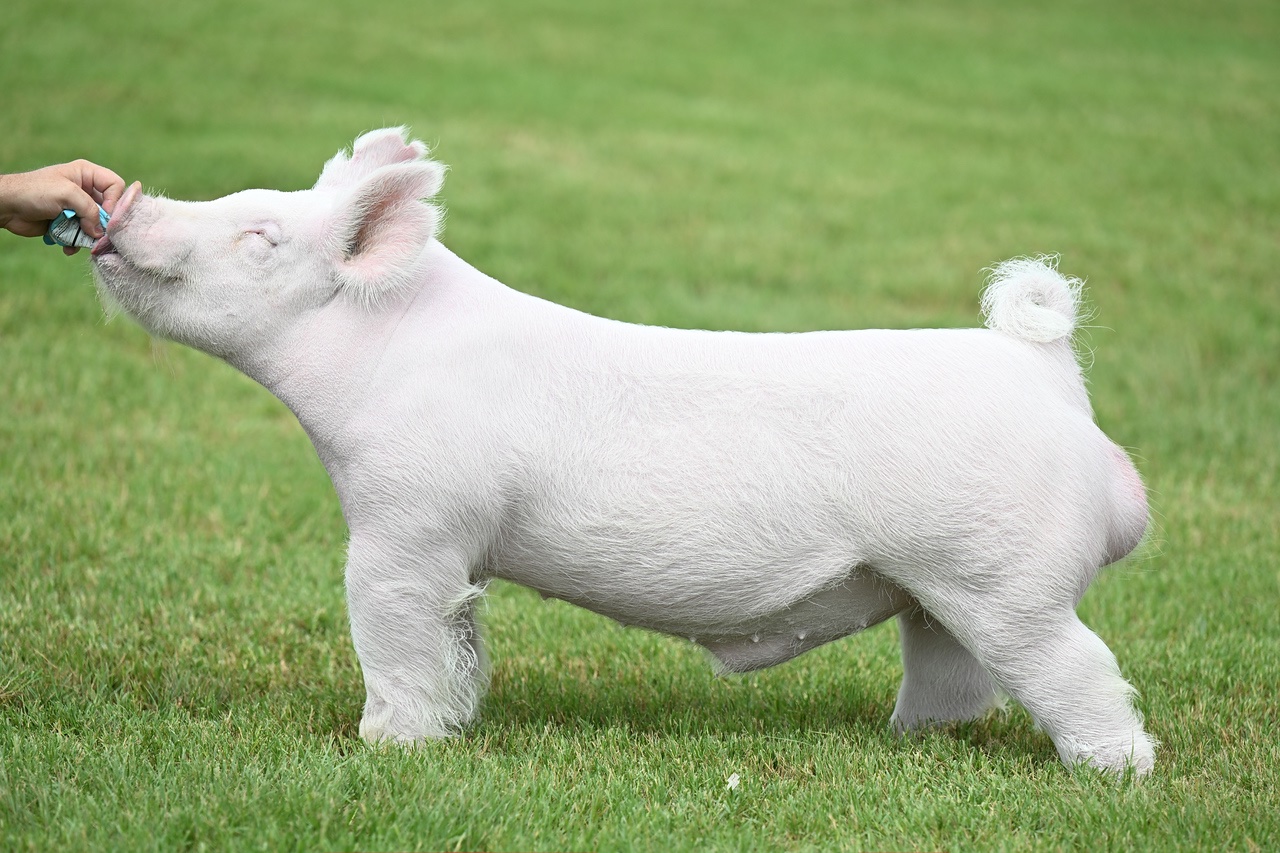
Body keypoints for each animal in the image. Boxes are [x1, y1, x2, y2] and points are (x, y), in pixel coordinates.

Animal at [89, 128, 1155, 774]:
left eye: (260, 235)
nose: (121, 200)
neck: (380, 359)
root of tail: (1044, 368)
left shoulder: (407, 522)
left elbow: (389, 631)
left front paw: (389, 748)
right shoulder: (456, 551)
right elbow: (459, 643)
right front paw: (454, 726)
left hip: (1003, 578)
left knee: (1081, 668)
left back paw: (1115, 772)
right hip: (938, 584)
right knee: (951, 670)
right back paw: (909, 741)